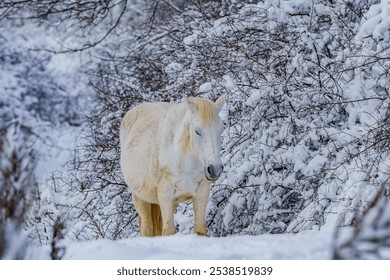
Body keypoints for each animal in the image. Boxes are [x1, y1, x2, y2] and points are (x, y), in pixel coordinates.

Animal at [121, 95, 225, 235]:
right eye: (197, 131)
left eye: (221, 129)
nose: (215, 169)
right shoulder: (165, 195)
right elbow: (169, 230)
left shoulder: (201, 193)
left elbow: (200, 229)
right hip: (140, 199)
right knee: (147, 230)